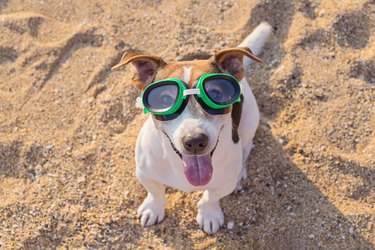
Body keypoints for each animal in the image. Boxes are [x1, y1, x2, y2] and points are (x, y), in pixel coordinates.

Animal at [112, 22, 274, 234]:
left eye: (216, 95)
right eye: (165, 99)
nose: (195, 141)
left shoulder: (223, 183)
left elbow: (210, 197)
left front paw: (209, 215)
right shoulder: (144, 173)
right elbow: (155, 191)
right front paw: (153, 208)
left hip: (249, 122)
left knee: (247, 147)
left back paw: (241, 172)